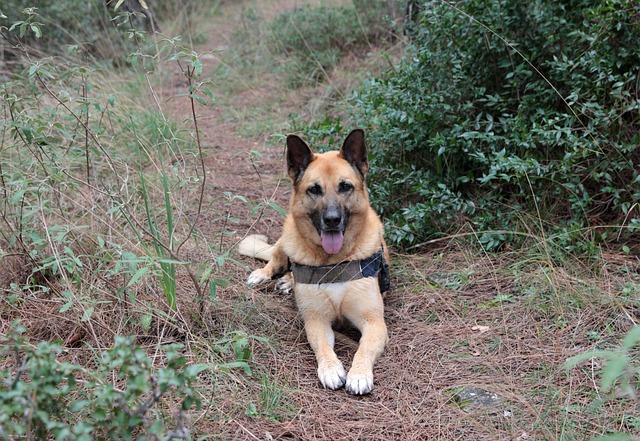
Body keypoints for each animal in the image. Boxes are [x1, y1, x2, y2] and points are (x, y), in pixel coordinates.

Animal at [240, 129, 390, 394]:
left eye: (345, 187)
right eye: (314, 189)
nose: (332, 220)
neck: (334, 261)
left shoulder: (374, 323)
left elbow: (363, 348)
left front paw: (359, 373)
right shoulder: (316, 321)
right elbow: (322, 346)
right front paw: (330, 369)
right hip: (286, 238)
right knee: (276, 261)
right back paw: (267, 275)